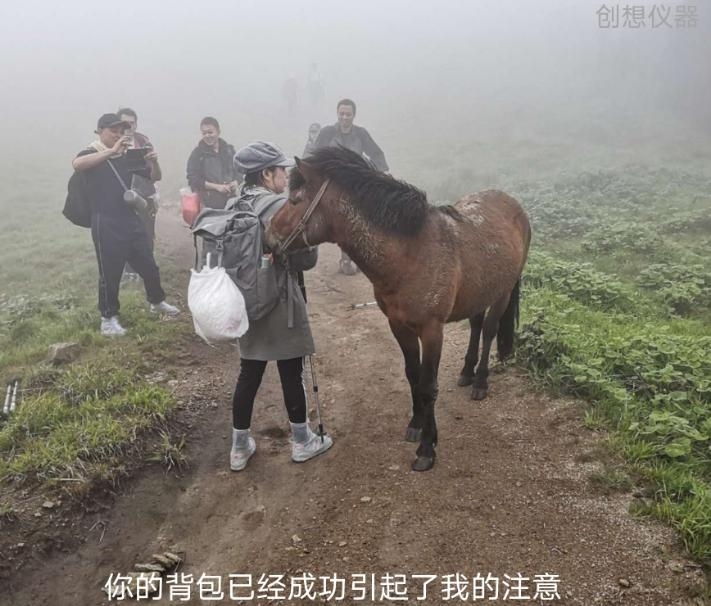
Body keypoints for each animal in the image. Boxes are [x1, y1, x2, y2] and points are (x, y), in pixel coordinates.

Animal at [266, 147, 531, 472]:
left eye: (294, 200)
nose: (268, 239)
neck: (410, 254)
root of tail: (514, 205)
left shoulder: (432, 331)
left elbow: (428, 385)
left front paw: (427, 448)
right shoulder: (398, 325)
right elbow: (412, 375)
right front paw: (416, 424)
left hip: (502, 293)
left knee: (490, 331)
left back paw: (480, 381)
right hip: (479, 292)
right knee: (477, 326)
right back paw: (467, 372)